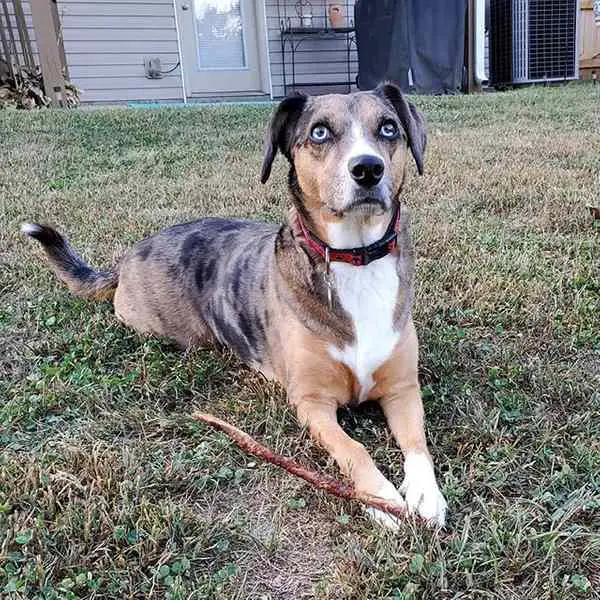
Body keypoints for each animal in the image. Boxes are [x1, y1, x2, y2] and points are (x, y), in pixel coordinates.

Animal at [22, 82, 446, 528]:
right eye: (319, 133)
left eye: (388, 128)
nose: (368, 169)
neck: (355, 258)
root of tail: (129, 255)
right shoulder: (312, 403)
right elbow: (353, 448)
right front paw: (379, 496)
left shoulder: (402, 388)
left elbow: (417, 442)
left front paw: (425, 493)